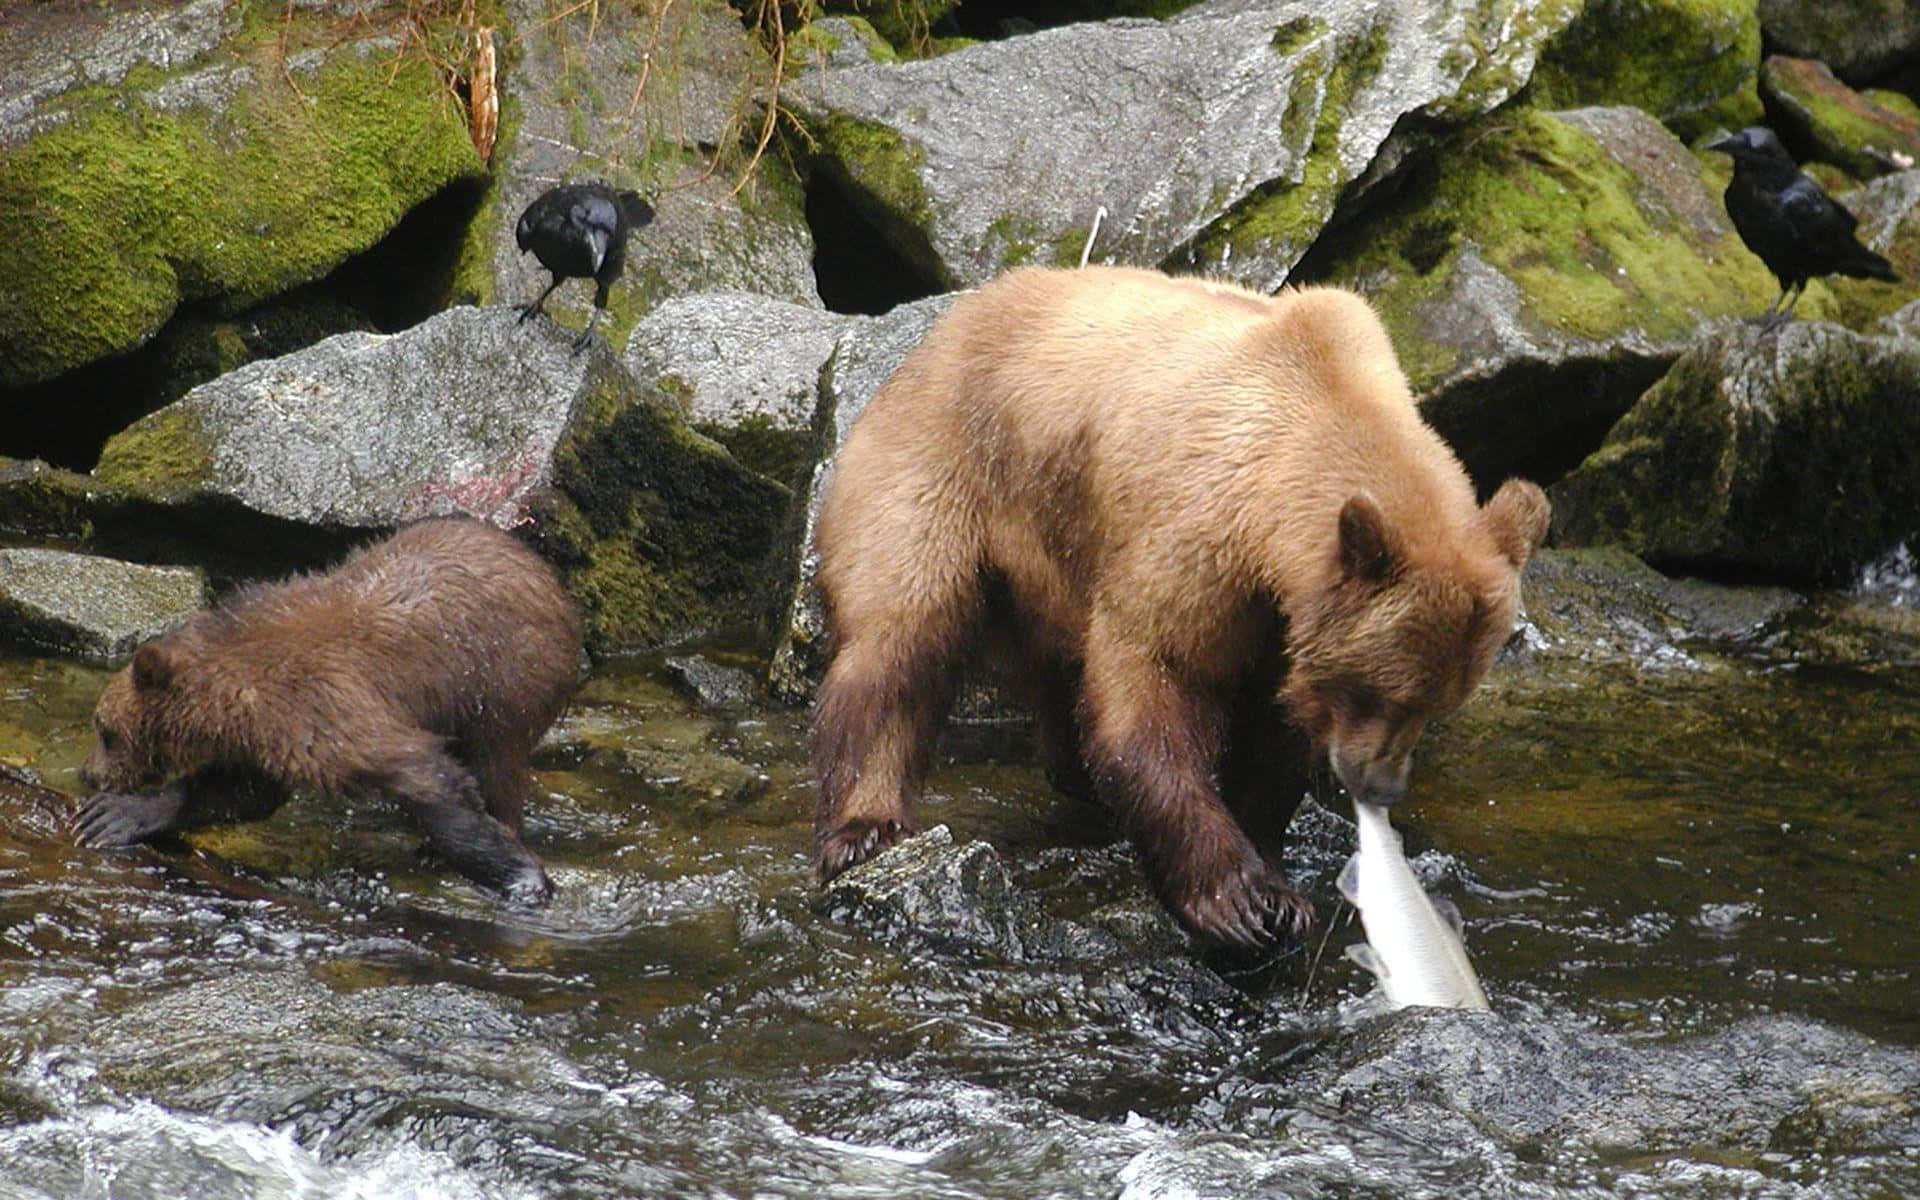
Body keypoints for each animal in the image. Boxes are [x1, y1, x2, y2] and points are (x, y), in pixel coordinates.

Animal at [74, 516, 583, 903]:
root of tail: (545, 573)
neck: (233, 693)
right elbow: (239, 793)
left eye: (104, 729)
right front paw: (114, 815)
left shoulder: (322, 707)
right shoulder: (268, 736)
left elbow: (420, 773)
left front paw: (522, 877)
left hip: (504, 684)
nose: (88, 774)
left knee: (498, 763)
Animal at [809, 265, 1549, 951]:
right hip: (941, 471)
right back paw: (865, 825)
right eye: (1381, 692)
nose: (1382, 785)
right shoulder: (1197, 535)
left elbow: (1270, 737)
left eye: (1438, 706)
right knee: (901, 638)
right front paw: (1237, 900)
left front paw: (1279, 885)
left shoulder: (1278, 618)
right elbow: (1153, 683)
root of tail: (942, 325)